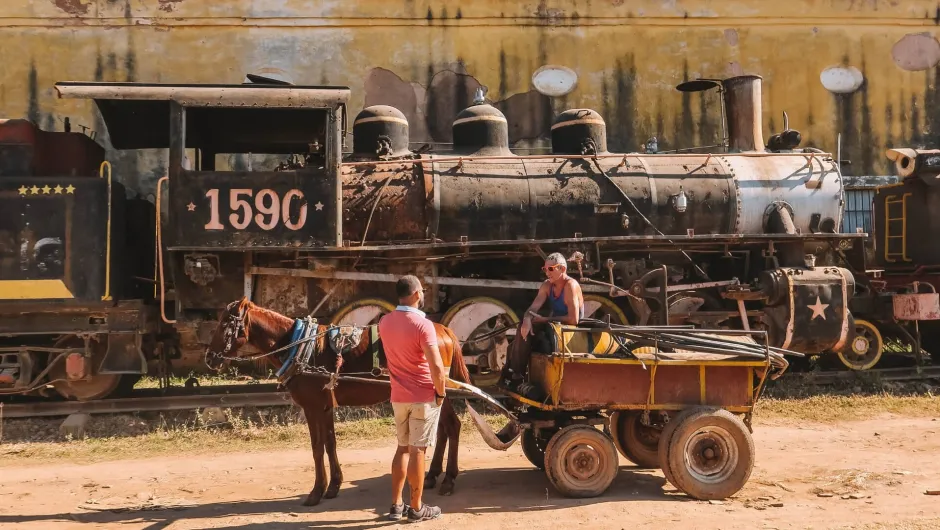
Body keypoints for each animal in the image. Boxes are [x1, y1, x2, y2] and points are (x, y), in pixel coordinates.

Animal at [206, 294, 470, 506]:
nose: (209, 358)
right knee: (443, 429)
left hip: (439, 392)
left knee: (452, 426)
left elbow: (316, 448)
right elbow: (330, 444)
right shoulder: (325, 407)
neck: (299, 347)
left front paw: (316, 492)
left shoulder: (312, 408)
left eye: (225, 323)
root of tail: (444, 330)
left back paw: (449, 479)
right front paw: (333, 485)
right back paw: (433, 475)